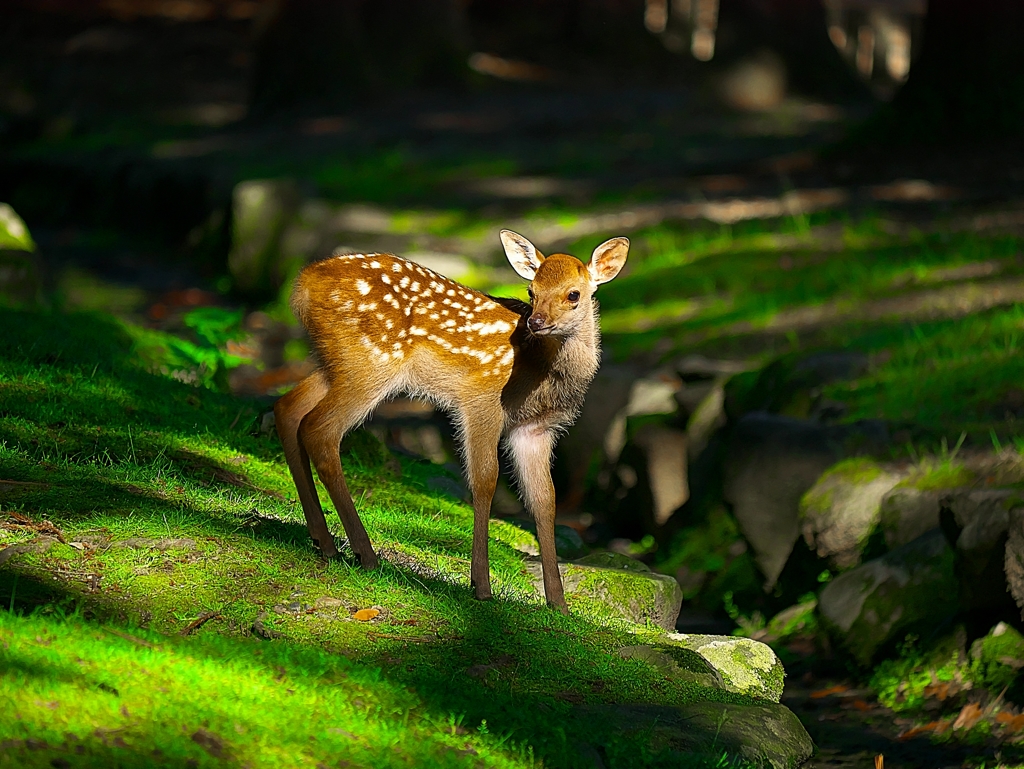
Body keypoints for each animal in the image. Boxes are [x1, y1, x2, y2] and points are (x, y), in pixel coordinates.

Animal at [274, 231, 622, 610]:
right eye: (531, 291)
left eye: (573, 294)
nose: (536, 321)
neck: (541, 371)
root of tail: (304, 282)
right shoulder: (482, 399)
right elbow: (485, 481)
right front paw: (481, 585)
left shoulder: (535, 428)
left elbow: (545, 500)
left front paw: (559, 603)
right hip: (370, 362)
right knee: (319, 429)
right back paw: (364, 553)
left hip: (336, 362)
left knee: (288, 407)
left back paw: (324, 542)